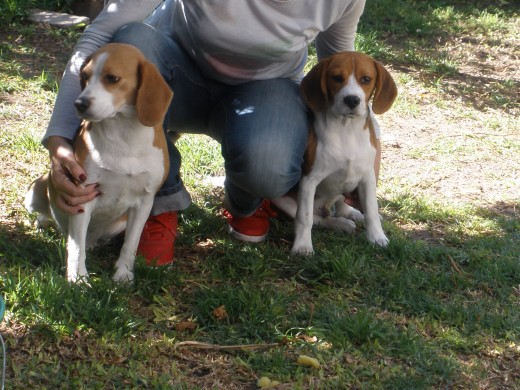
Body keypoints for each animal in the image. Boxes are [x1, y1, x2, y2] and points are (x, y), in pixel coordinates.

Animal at [24, 43, 174, 284]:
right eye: (84, 76)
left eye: (112, 78)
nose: (79, 103)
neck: (124, 136)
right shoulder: (82, 197)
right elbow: (76, 248)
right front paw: (77, 279)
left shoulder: (144, 202)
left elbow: (130, 244)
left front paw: (123, 274)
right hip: (35, 192)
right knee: (47, 216)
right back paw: (43, 221)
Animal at [272, 50, 398, 254]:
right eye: (337, 78)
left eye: (366, 79)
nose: (352, 100)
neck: (346, 129)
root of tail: (324, 206)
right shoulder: (309, 180)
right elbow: (304, 218)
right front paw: (302, 246)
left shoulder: (367, 177)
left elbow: (371, 209)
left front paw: (377, 237)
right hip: (283, 201)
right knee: (319, 219)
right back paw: (341, 224)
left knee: (341, 205)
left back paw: (353, 215)